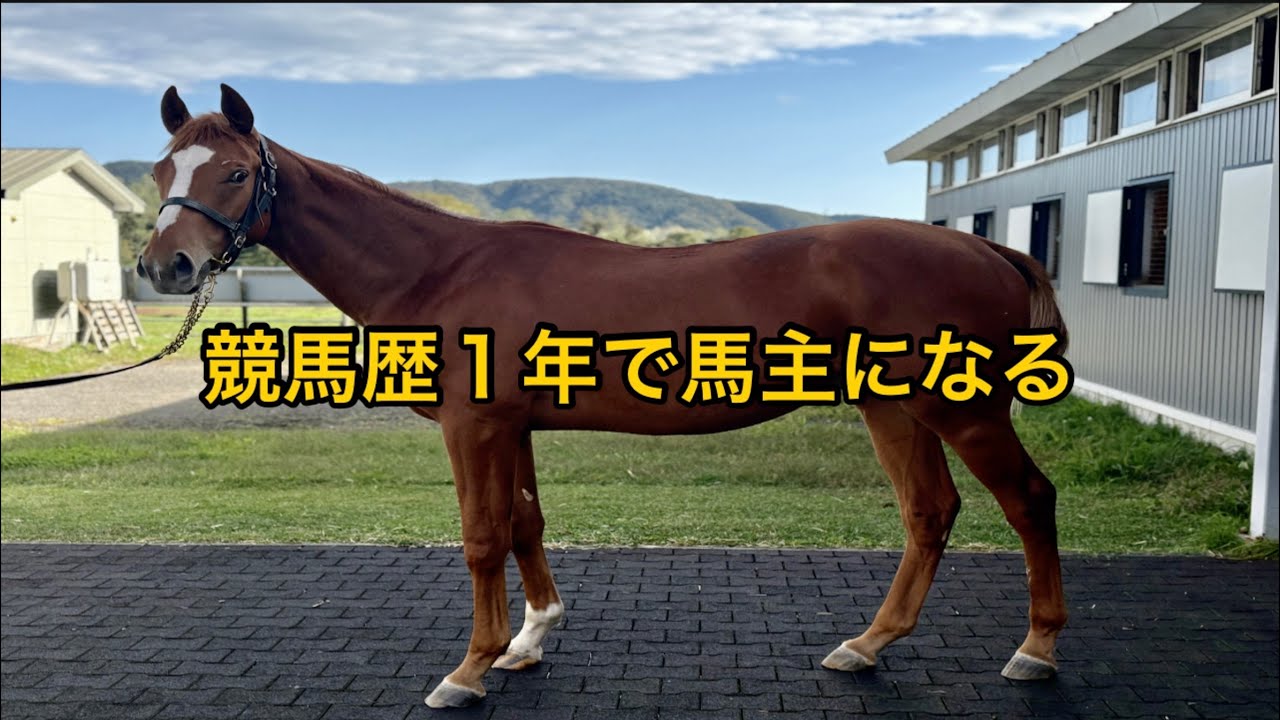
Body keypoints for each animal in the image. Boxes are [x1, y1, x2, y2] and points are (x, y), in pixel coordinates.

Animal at [138, 84, 1069, 709]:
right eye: (159, 170)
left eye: (233, 173)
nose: (165, 266)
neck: (440, 268)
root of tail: (989, 250)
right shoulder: (511, 427)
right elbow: (525, 524)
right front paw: (527, 642)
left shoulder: (472, 429)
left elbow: (482, 538)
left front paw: (468, 670)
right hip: (894, 408)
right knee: (929, 512)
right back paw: (868, 645)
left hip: (962, 410)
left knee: (1027, 499)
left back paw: (1036, 650)